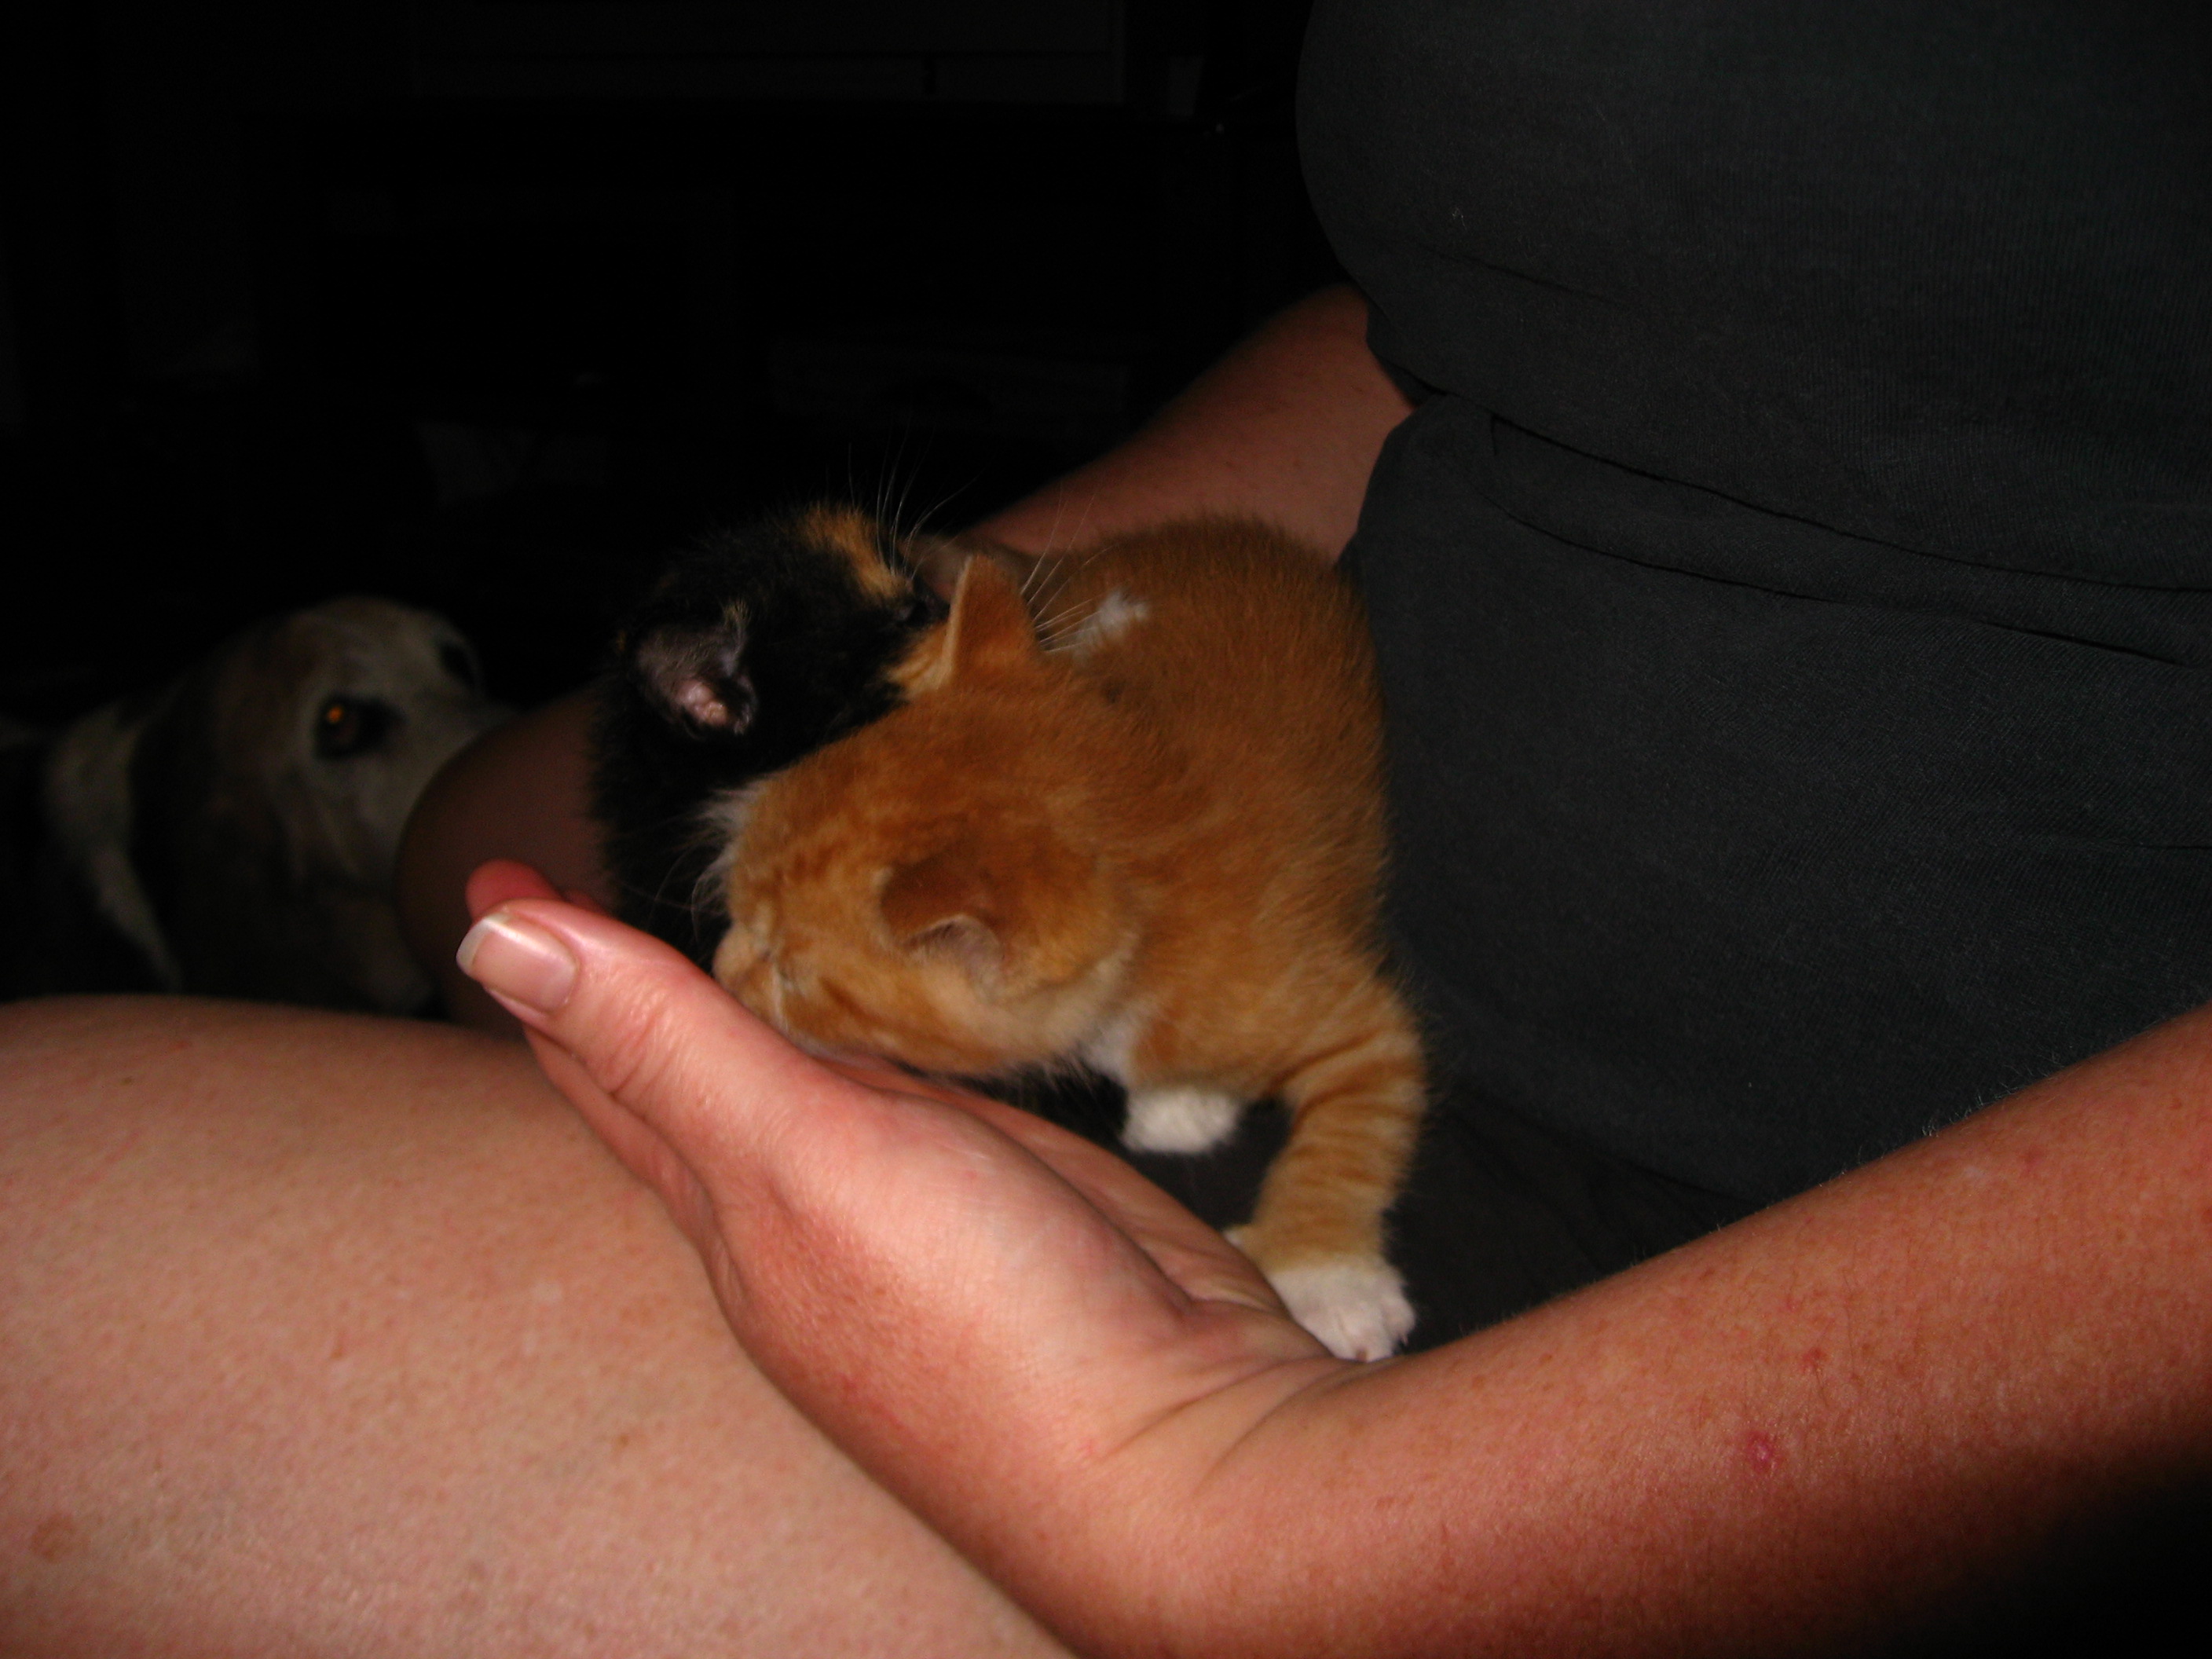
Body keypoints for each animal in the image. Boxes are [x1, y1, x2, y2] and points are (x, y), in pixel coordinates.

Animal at [706, 517, 1427, 1360]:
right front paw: (1184, 1102)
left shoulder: (1342, 1012)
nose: (718, 968)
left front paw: (1328, 1274)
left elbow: (1356, 1123)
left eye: (787, 972)